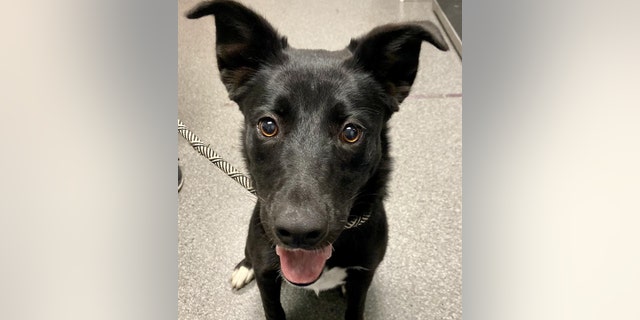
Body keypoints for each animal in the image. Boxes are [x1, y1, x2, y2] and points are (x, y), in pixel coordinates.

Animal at [185, 1, 444, 318]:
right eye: (268, 125)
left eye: (351, 132)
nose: (298, 232)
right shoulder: (267, 277)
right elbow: (273, 308)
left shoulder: (364, 276)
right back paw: (244, 266)